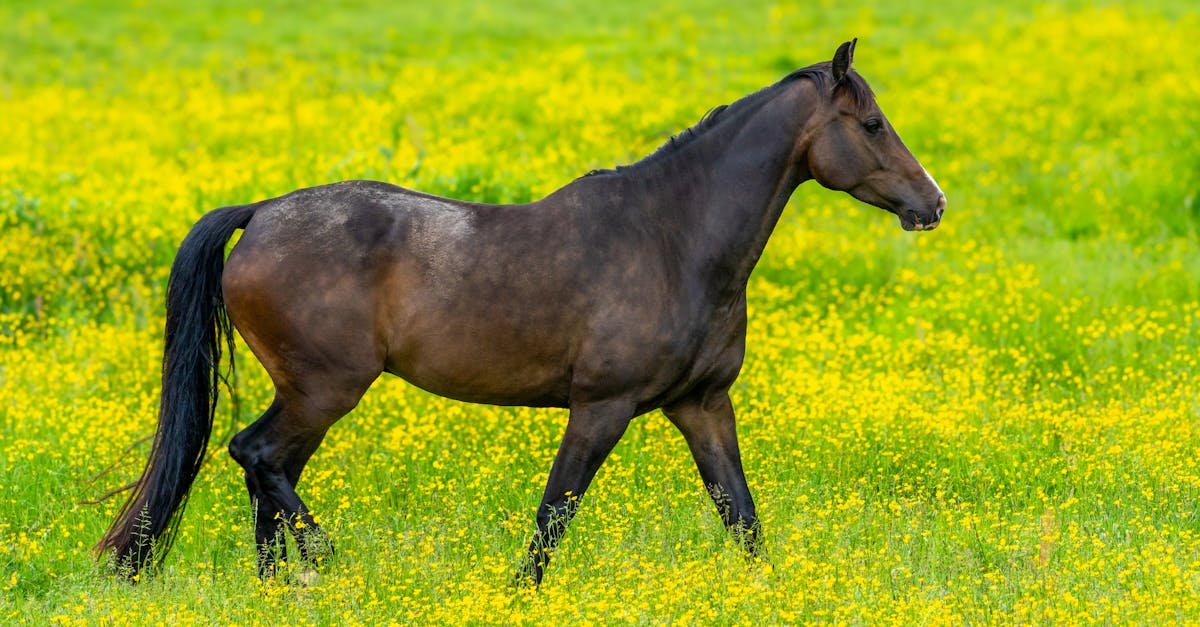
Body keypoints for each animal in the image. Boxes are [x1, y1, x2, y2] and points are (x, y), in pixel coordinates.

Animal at [98, 40, 945, 586]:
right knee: (257, 455)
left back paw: (283, 588)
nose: (932, 203)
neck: (672, 236)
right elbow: (553, 517)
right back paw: (329, 567)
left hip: (310, 396)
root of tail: (262, 213)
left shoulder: (702, 404)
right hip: (324, 388)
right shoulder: (601, 407)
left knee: (266, 473)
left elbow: (742, 516)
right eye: (872, 125)